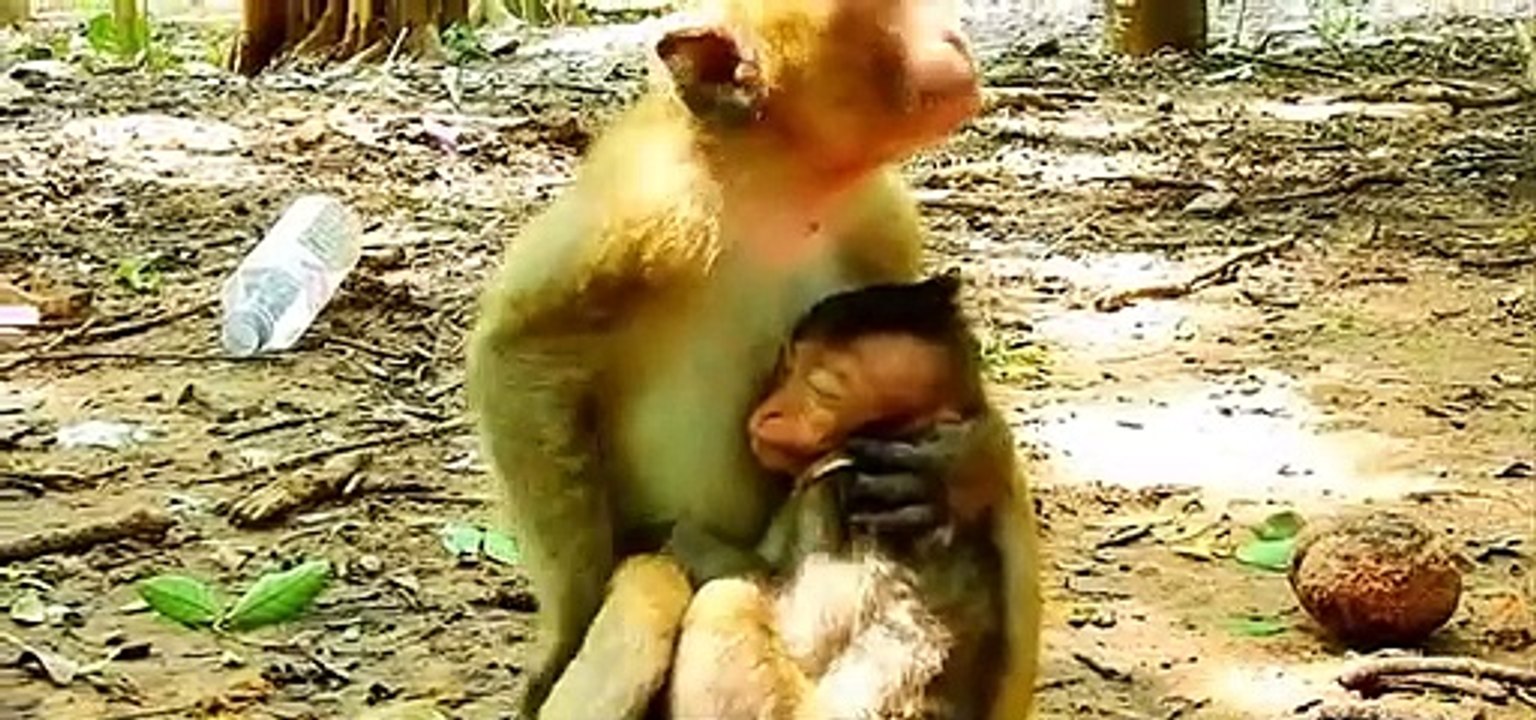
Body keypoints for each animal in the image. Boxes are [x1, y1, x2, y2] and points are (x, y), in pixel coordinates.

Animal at [666, 272, 1011, 720]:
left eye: (822, 390)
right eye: (789, 368)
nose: (770, 413)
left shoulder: (827, 489)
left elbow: (798, 625)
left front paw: (674, 537)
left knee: (727, 595)